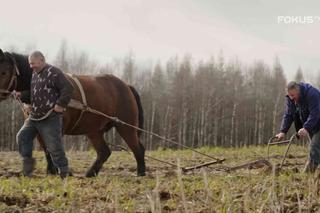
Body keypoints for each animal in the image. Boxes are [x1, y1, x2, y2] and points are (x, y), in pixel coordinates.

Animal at [0, 49, 146, 177]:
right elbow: (46, 149)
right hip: (94, 131)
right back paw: (90, 173)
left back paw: (141, 173)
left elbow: (53, 148)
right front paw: (50, 170)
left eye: (4, 72)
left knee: (138, 148)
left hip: (125, 126)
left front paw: (61, 171)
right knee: (104, 152)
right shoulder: (37, 126)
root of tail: (127, 86)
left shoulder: (57, 127)